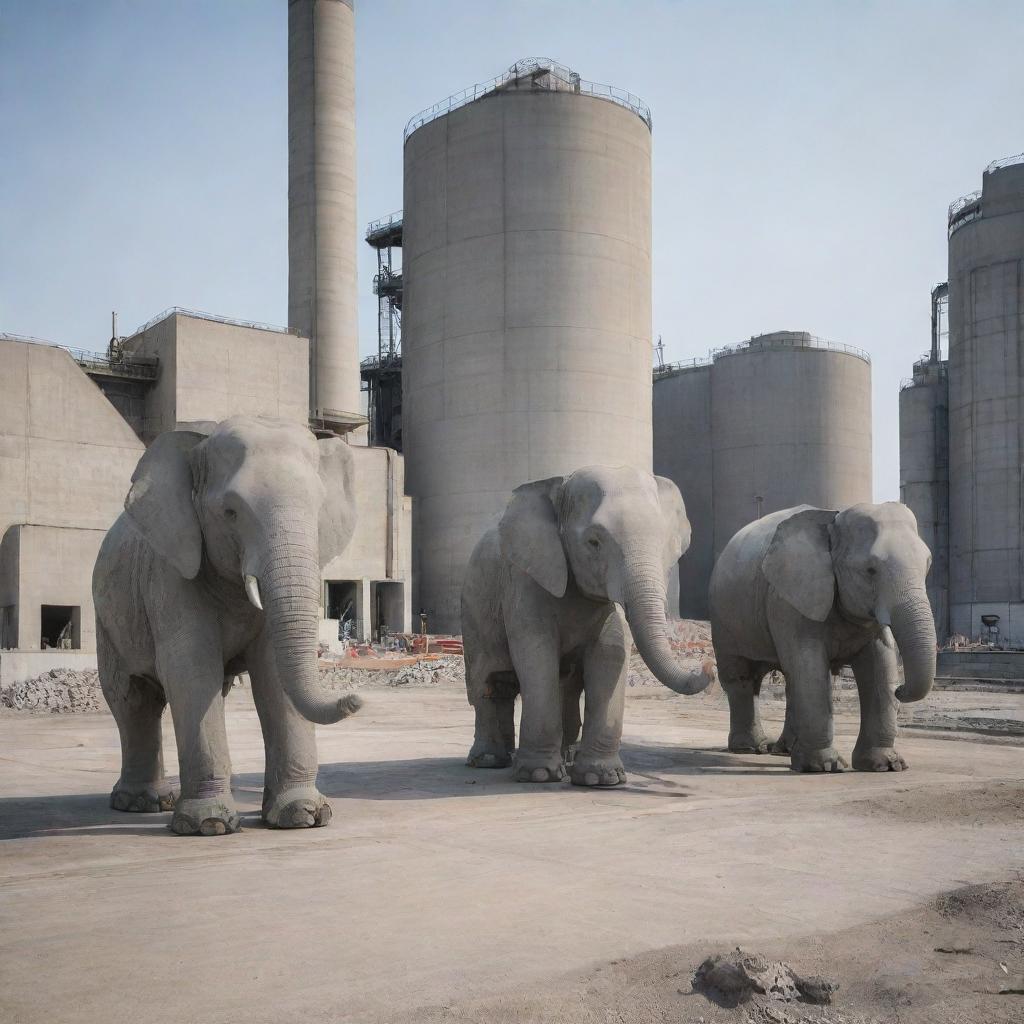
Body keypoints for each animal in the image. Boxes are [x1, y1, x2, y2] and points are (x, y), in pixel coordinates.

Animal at [93, 419, 364, 835]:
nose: (354, 699)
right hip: (107, 620)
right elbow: (190, 669)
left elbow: (272, 674)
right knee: (132, 699)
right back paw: (142, 803)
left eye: (319, 510)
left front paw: (304, 817)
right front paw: (208, 825)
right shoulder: (171, 574)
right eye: (230, 512)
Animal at [462, 468, 712, 786]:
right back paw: (490, 761)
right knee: (490, 680)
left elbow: (611, 653)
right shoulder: (525, 579)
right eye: (594, 542)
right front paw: (539, 775)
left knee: (563, 685)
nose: (709, 666)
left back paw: (565, 759)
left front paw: (601, 779)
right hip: (474, 606)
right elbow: (536, 652)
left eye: (665, 545)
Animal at [712, 499, 937, 770]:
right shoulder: (789, 599)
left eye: (928, 566)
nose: (900, 690)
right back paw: (751, 748)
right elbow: (808, 663)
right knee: (741, 677)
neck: (833, 522)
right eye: (870, 570)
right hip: (724, 620)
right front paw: (826, 767)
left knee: (786, 680)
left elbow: (881, 663)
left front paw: (887, 765)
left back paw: (784, 751)